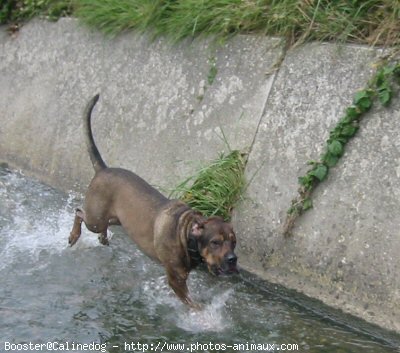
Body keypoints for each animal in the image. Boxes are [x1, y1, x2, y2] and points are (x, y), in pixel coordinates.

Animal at [68, 93, 238, 306]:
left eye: (234, 242)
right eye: (215, 242)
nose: (233, 259)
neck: (186, 233)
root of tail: (103, 169)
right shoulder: (176, 280)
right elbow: (194, 306)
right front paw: (204, 315)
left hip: (117, 219)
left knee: (103, 225)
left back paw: (104, 239)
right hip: (95, 218)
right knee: (79, 212)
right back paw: (74, 236)